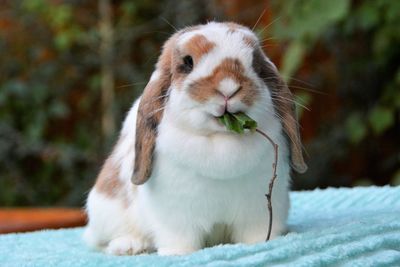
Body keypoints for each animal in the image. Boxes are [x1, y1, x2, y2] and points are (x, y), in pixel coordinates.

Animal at [82, 22, 306, 256]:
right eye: (188, 62)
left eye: (254, 62)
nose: (228, 87)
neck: (220, 139)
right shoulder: (178, 219)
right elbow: (180, 239)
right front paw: (177, 253)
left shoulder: (258, 214)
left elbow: (258, 234)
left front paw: (264, 244)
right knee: (100, 240)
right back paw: (129, 246)